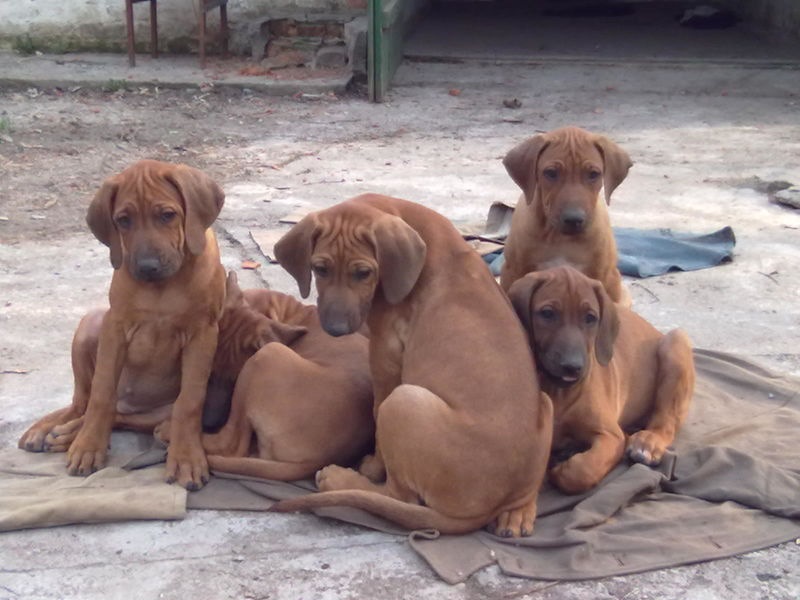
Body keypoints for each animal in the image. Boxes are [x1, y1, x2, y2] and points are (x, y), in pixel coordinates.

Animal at [16, 161, 228, 492]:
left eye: (167, 215)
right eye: (123, 220)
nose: (147, 267)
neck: (163, 287)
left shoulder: (203, 333)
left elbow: (190, 401)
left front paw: (187, 458)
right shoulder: (115, 327)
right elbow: (101, 394)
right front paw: (88, 446)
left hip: (154, 415)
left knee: (122, 417)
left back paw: (64, 435)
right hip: (90, 325)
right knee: (83, 402)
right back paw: (53, 430)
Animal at [202, 278, 376, 480]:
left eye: (233, 381)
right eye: (208, 373)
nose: (208, 423)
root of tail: (320, 461)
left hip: (269, 353)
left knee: (230, 444)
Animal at [268, 195, 552, 536]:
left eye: (363, 273)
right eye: (319, 268)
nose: (336, 329)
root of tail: (480, 512)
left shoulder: (385, 356)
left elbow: (376, 414)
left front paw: (373, 465)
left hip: (404, 400)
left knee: (399, 495)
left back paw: (340, 479)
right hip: (546, 403)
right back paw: (518, 512)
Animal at [500, 127, 632, 304]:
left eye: (593, 174)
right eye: (550, 173)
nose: (573, 219)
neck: (559, 238)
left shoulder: (606, 277)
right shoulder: (513, 271)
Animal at [512, 266, 692, 492]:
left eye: (590, 318)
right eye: (547, 313)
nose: (573, 367)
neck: (558, 391)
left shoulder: (611, 435)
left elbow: (583, 470)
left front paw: (562, 469)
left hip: (676, 342)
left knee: (666, 422)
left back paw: (647, 442)